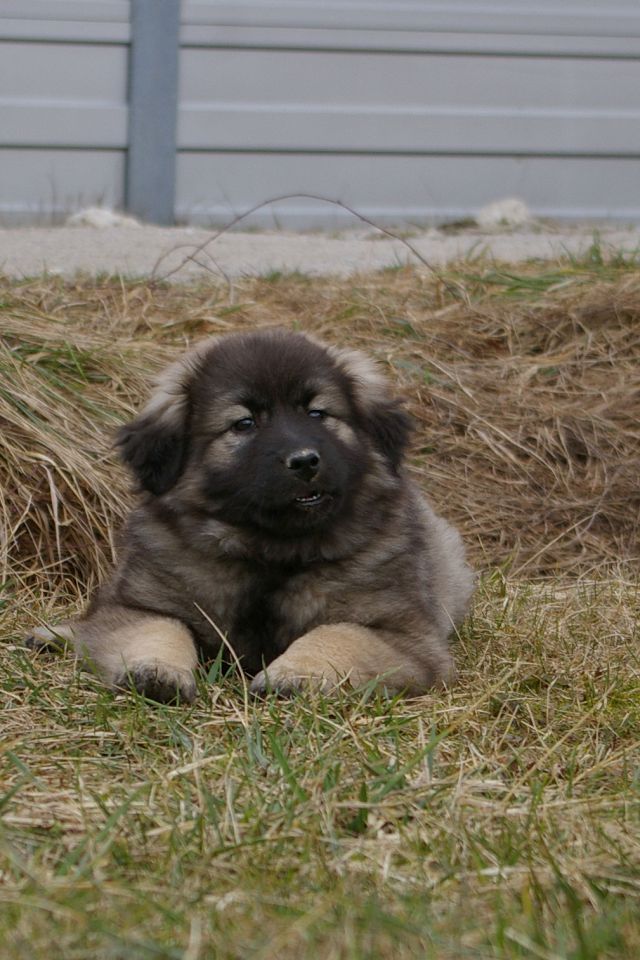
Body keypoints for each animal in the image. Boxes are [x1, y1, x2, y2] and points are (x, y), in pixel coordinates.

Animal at [31, 332, 476, 704]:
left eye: (317, 414)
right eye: (243, 424)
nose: (304, 461)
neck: (270, 550)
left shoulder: (405, 635)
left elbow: (337, 634)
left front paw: (296, 674)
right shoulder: (136, 606)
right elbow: (162, 630)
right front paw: (156, 671)